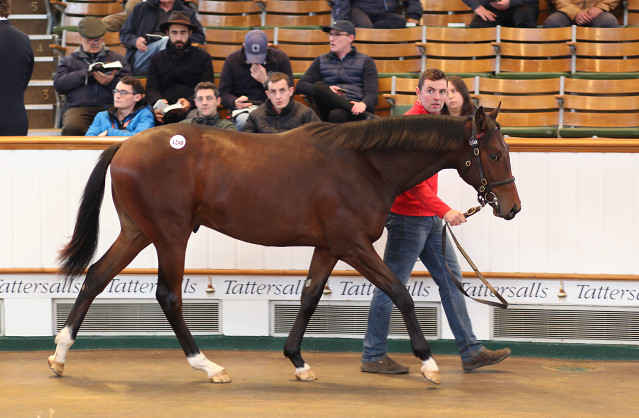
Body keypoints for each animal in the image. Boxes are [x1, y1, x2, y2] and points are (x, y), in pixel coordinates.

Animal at [48, 107, 520, 386]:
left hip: (137, 232)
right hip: (170, 235)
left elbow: (310, 296)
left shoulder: (329, 247)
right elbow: (400, 293)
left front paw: (298, 360)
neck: (364, 164)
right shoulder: (353, 245)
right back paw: (208, 365)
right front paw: (429, 363)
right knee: (168, 296)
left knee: (96, 276)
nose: (512, 207)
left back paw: (60, 354)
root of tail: (125, 144)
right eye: (495, 154)